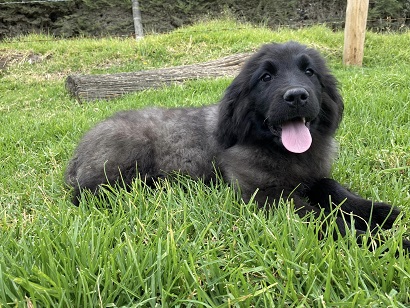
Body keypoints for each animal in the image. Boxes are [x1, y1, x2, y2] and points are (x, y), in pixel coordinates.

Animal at [65, 41, 408, 250]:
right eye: (266, 77)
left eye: (309, 72)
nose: (297, 96)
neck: (281, 152)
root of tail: (79, 150)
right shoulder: (267, 197)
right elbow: (323, 218)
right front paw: (384, 242)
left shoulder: (312, 177)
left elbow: (334, 188)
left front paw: (379, 212)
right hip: (125, 157)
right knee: (88, 193)